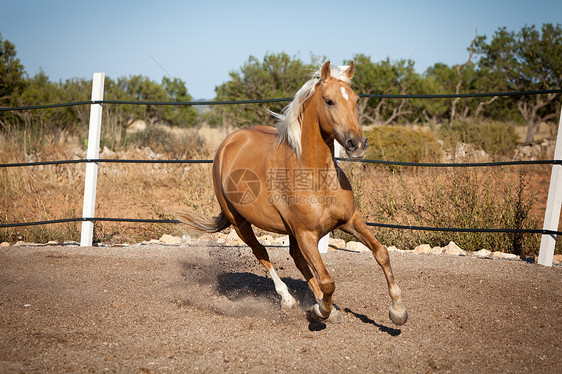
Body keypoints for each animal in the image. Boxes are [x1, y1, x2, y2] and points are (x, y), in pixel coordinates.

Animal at [179, 60, 406, 324]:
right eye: (329, 101)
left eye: (356, 99)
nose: (357, 144)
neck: (315, 176)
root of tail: (229, 142)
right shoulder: (306, 234)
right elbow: (327, 280)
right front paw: (322, 311)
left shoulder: (350, 220)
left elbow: (381, 253)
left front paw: (398, 311)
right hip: (240, 223)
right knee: (262, 252)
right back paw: (288, 300)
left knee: (297, 258)